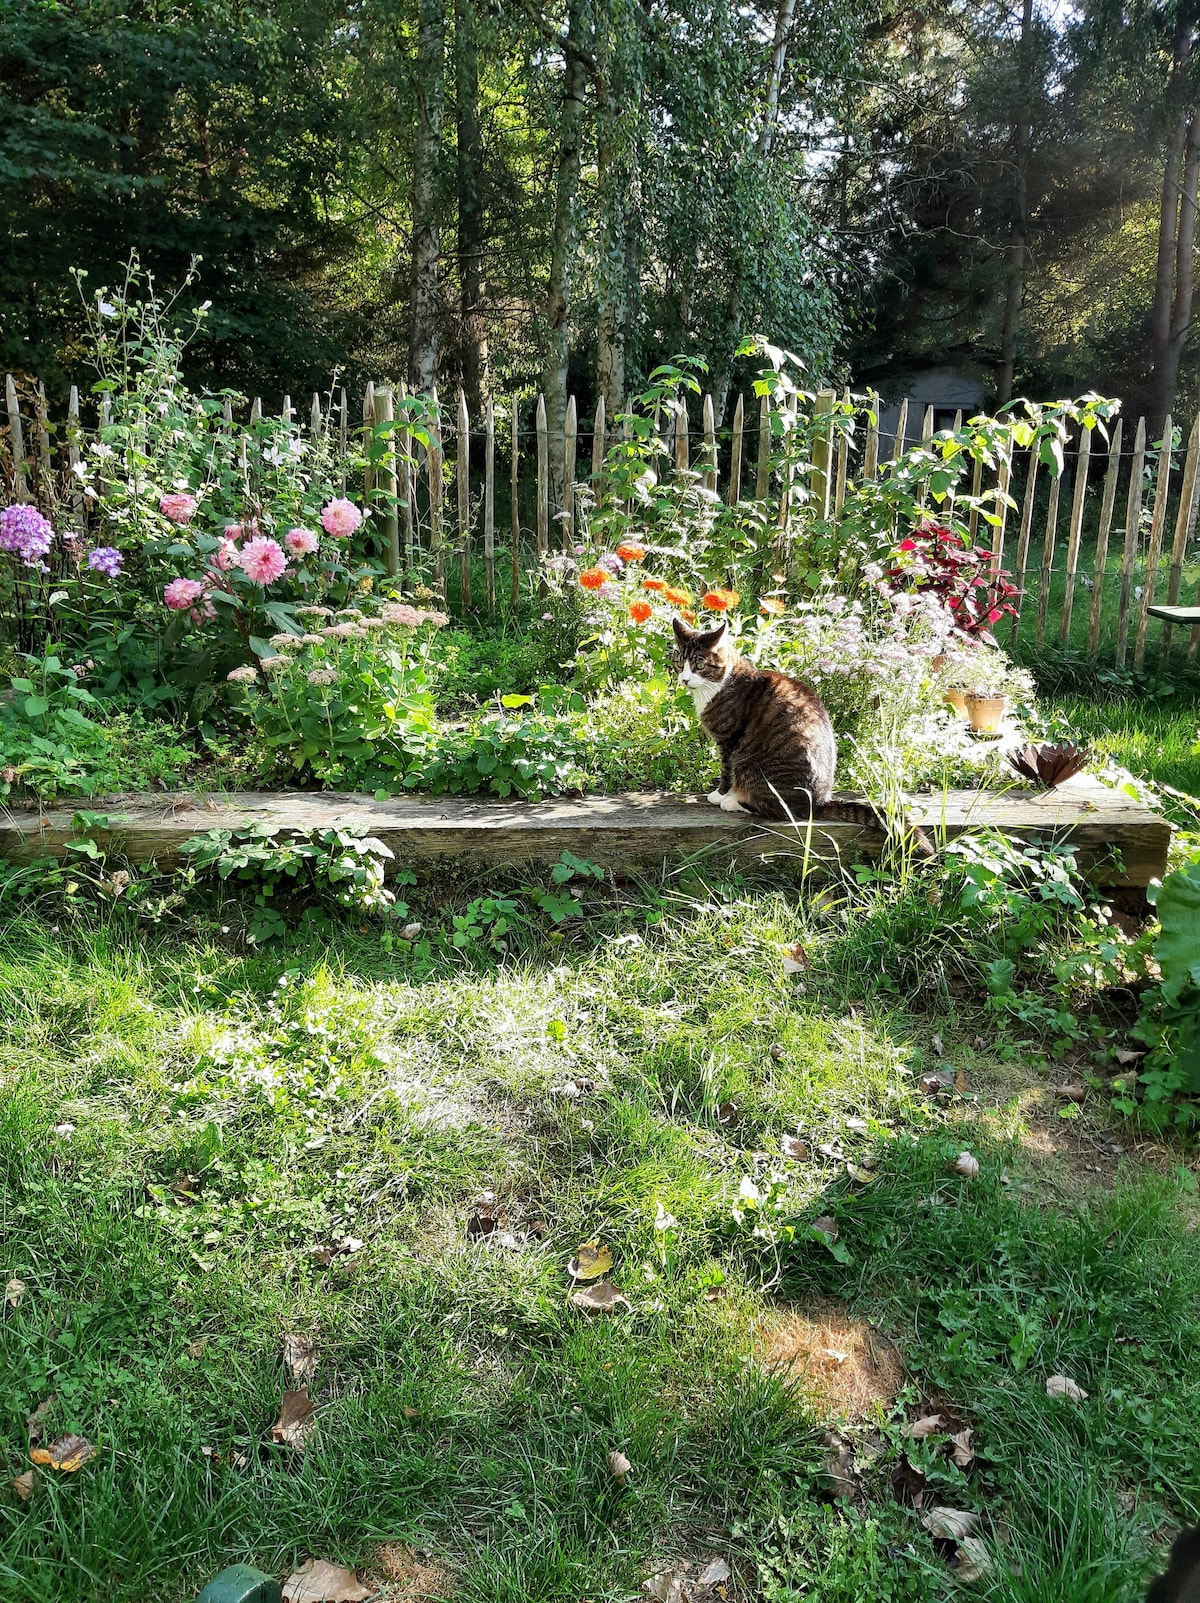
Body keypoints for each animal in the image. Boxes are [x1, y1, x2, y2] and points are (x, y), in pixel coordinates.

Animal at [669, 618, 929, 859]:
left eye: (699, 664)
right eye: (680, 662)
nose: (684, 679)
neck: (720, 683)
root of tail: (819, 802)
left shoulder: (730, 740)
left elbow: (726, 771)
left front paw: (720, 794)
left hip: (751, 765)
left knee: (781, 810)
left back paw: (733, 801)